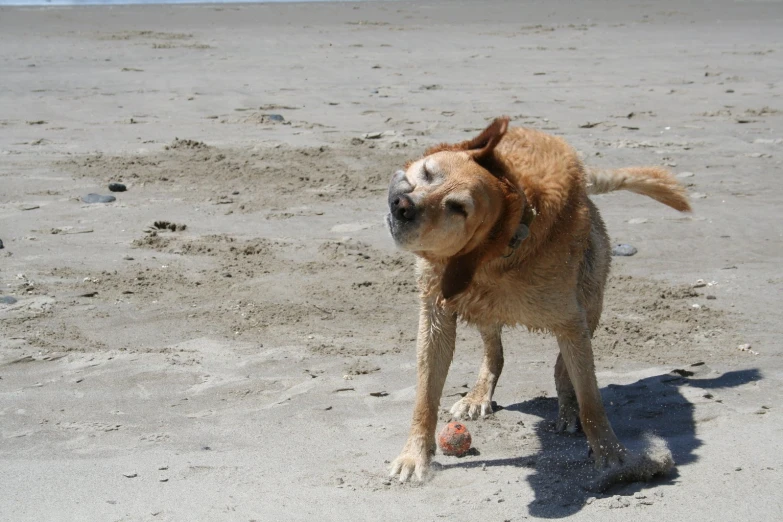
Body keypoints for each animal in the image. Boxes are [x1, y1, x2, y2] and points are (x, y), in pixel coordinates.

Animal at [388, 116, 692, 486]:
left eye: (457, 208)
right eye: (427, 173)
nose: (402, 205)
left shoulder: (570, 321)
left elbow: (592, 401)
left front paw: (611, 454)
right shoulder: (436, 315)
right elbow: (425, 397)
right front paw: (415, 455)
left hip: (589, 300)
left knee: (564, 366)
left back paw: (567, 407)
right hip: (485, 311)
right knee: (495, 352)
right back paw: (478, 395)